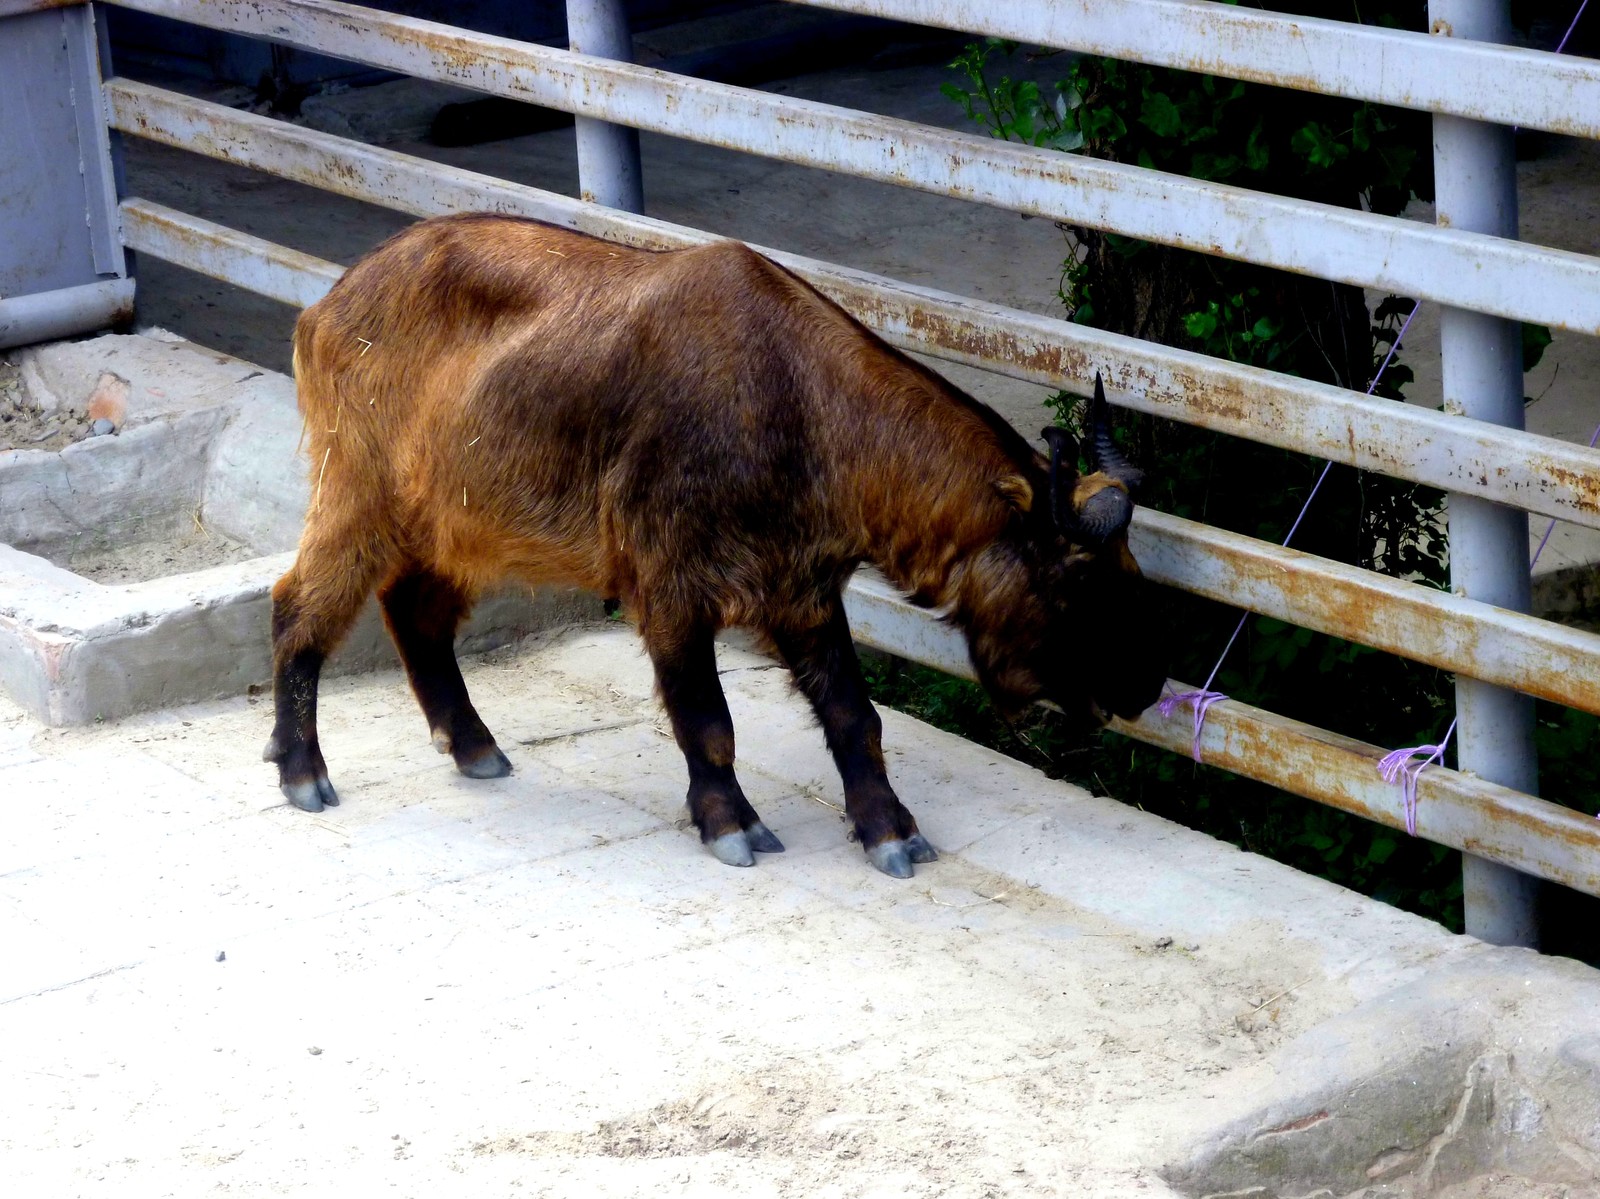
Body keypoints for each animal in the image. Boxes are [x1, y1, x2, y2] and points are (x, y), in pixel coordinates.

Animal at [262, 209, 1164, 877]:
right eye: (1077, 582)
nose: (1148, 685)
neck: (802, 405)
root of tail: (328, 303)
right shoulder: (669, 587)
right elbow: (708, 720)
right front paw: (731, 823)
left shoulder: (803, 590)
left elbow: (855, 715)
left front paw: (890, 831)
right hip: (356, 493)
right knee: (297, 607)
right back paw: (304, 770)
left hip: (451, 524)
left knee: (413, 612)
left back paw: (475, 745)